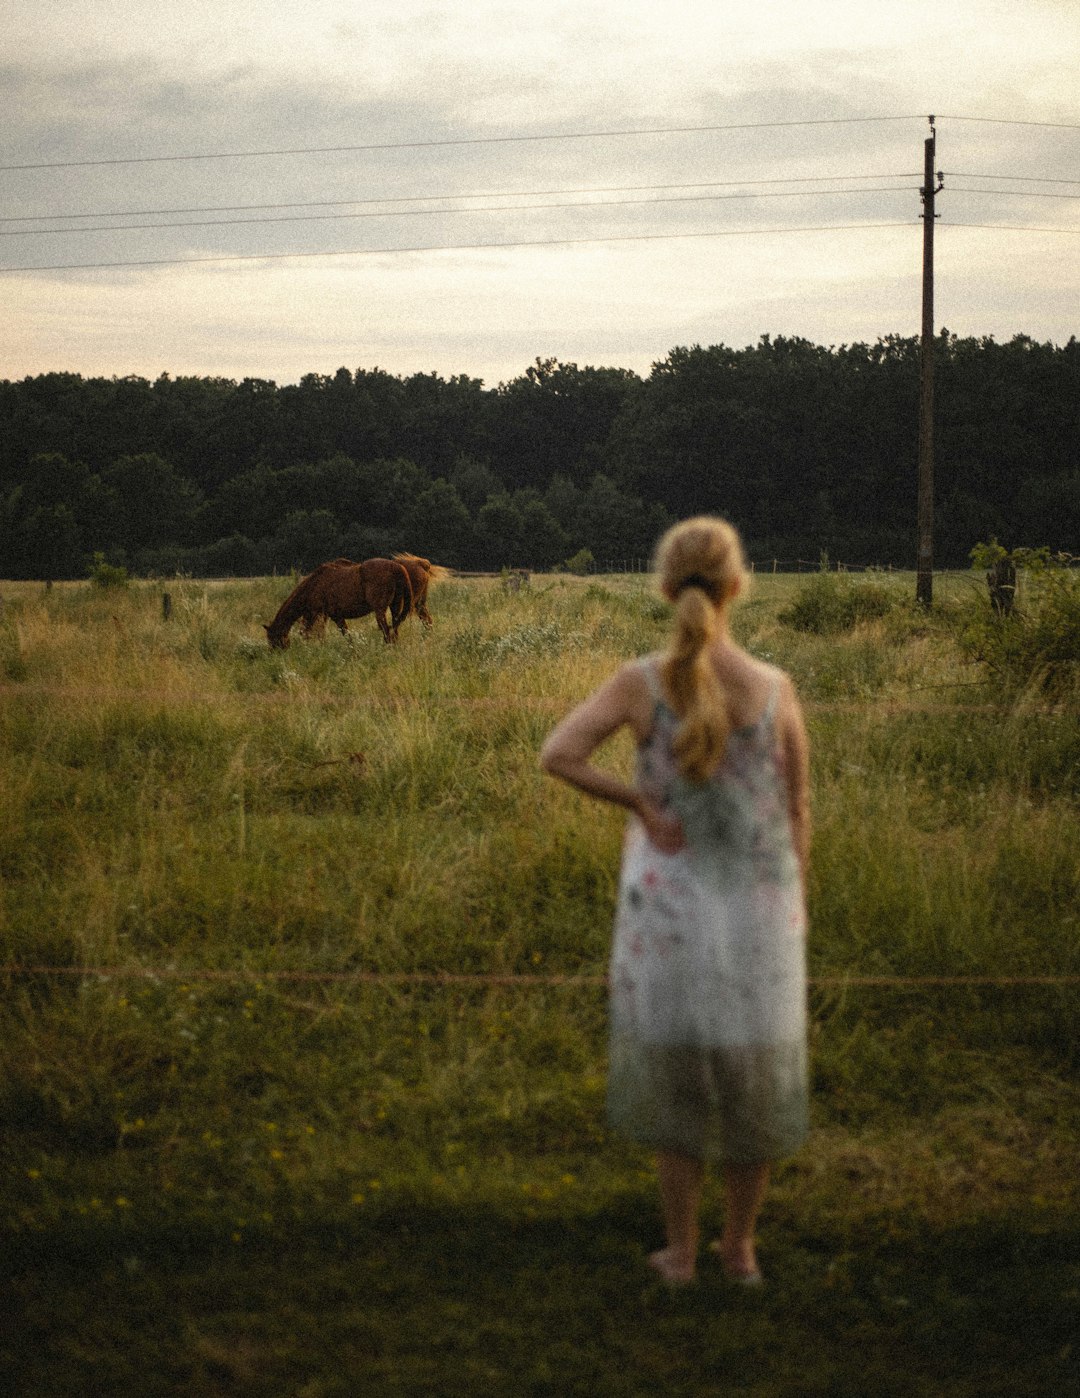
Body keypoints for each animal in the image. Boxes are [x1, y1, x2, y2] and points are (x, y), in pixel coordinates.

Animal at [262, 556, 413, 648]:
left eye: (273, 639)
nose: (274, 654)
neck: (314, 584)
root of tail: (397, 567)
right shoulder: (328, 616)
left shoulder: (323, 615)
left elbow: (318, 634)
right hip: (395, 608)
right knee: (394, 630)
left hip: (380, 611)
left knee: (387, 632)